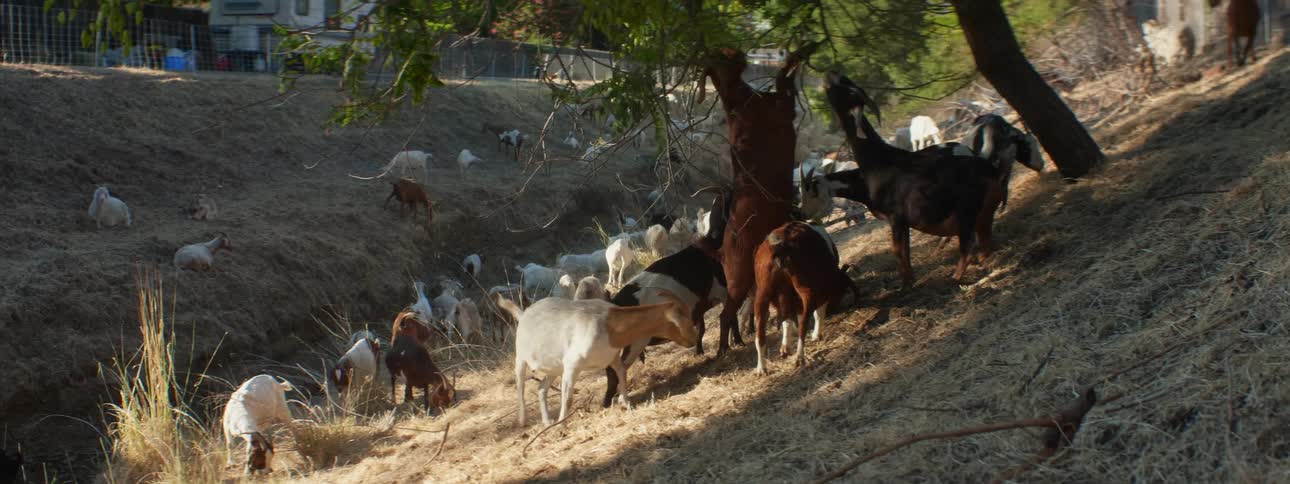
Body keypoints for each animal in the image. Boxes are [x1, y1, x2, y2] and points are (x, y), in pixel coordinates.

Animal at [501, 294, 697, 426]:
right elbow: (568, 397)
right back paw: (523, 420)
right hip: (521, 357)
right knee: (520, 384)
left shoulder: (612, 358)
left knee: (541, 388)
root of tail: (524, 314)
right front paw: (562, 424)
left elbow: (622, 374)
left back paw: (547, 422)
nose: (693, 340)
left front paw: (626, 403)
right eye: (685, 319)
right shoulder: (572, 365)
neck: (609, 324)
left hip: (555, 367)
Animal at [699, 44, 817, 356]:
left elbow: (783, 81)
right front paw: (800, 52)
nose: (735, 52)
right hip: (739, 279)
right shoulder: (777, 107)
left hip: (748, 280)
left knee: (735, 312)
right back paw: (724, 350)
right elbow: (783, 80)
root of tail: (721, 251)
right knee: (726, 314)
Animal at [751, 222, 859, 373]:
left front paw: (785, 347)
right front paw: (816, 335)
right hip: (807, 291)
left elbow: (787, 320)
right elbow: (818, 313)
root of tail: (780, 245)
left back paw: (761, 368)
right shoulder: (821, 292)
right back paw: (800, 357)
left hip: (762, 296)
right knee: (804, 323)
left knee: (760, 334)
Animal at [799, 72, 999, 289]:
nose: (801, 213)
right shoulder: (902, 221)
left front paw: (906, 285)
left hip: (965, 212)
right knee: (984, 240)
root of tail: (988, 167)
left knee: (968, 245)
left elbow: (898, 251)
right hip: (982, 212)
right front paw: (909, 281)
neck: (879, 160)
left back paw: (954, 278)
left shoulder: (896, 217)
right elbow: (905, 252)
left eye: (839, 87)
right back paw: (982, 263)